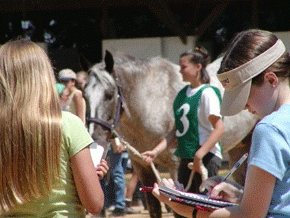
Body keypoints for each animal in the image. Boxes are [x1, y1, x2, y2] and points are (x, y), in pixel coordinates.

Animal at [84, 51, 258, 218]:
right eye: (84, 96)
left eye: (109, 94)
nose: (95, 138)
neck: (150, 102)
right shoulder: (142, 166)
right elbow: (154, 208)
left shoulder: (174, 165)